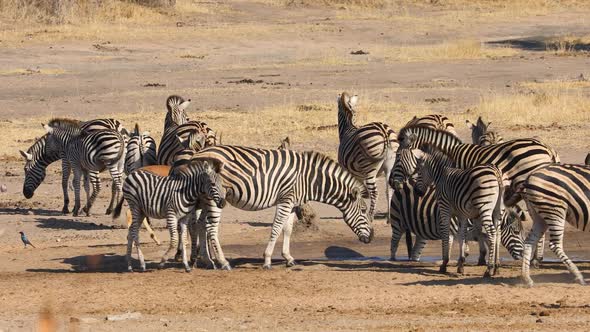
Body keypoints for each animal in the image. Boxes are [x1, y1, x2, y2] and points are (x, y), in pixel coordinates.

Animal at [185, 145, 374, 270]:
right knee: (211, 227)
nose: (371, 238)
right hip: (215, 196)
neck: (309, 179)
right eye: (364, 211)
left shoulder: (292, 204)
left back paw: (207, 261)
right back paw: (223, 262)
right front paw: (267, 260)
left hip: (204, 198)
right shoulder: (285, 200)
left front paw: (288, 258)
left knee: (200, 225)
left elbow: (287, 229)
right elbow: (276, 228)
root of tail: (197, 154)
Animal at [338, 91, 398, 220]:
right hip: (390, 165)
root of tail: (384, 132)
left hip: (369, 167)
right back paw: (388, 217)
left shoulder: (348, 170)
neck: (348, 128)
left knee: (374, 192)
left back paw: (370, 216)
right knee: (389, 189)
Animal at [390, 180, 524, 264]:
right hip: (397, 221)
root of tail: (405, 182)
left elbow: (483, 241)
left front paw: (483, 260)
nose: (523, 255)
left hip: (421, 232)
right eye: (516, 232)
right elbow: (451, 247)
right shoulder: (452, 229)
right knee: (394, 243)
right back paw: (392, 260)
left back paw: (414, 260)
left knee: (416, 250)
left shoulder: (475, 231)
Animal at [410, 146, 506, 278]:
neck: (440, 176)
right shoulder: (462, 214)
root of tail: (495, 170)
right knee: (498, 233)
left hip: (484, 207)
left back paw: (489, 269)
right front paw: (461, 265)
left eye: (419, 170)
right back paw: (496, 267)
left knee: (492, 233)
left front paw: (444, 263)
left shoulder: (444, 208)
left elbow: (446, 233)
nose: (417, 192)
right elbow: (461, 235)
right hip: (498, 209)